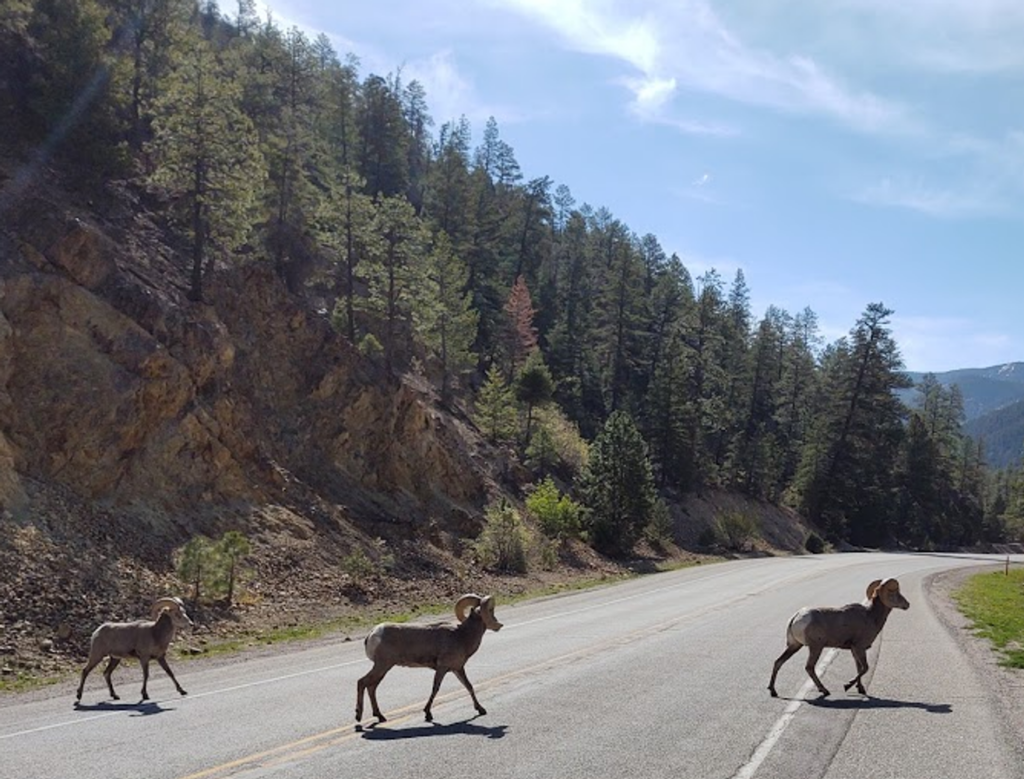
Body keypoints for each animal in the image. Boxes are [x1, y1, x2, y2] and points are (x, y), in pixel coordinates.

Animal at [356, 593, 503, 724]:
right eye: (490, 610)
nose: (499, 625)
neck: (461, 636)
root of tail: (372, 634)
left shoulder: (457, 669)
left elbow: (469, 686)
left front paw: (481, 709)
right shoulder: (442, 668)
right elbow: (435, 688)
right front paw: (428, 714)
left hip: (383, 668)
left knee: (371, 687)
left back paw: (380, 717)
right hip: (382, 666)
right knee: (362, 682)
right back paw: (359, 716)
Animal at [770, 577, 913, 700]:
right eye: (894, 592)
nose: (907, 604)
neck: (871, 616)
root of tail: (795, 618)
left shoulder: (854, 650)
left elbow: (859, 668)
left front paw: (861, 689)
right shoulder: (859, 647)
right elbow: (865, 668)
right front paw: (847, 686)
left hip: (794, 645)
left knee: (778, 662)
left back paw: (773, 691)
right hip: (815, 647)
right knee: (809, 667)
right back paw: (824, 690)